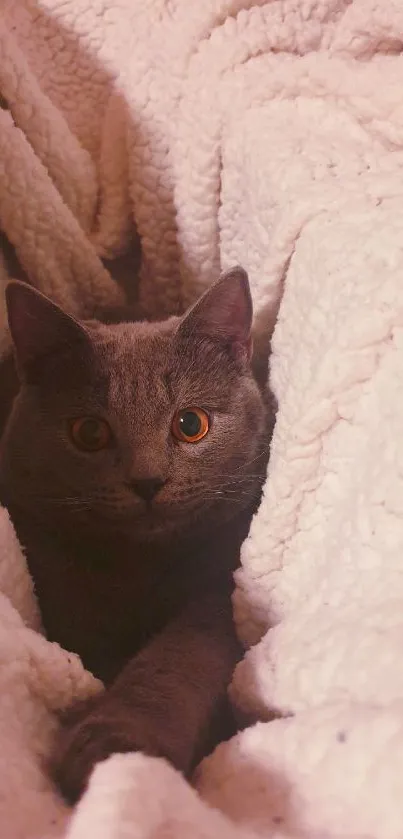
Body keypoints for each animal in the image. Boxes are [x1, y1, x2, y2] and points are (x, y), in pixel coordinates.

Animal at [0, 268, 274, 800]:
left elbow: (183, 655)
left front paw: (115, 747)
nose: (147, 481)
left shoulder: (220, 585)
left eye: (191, 424)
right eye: (89, 432)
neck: (139, 568)